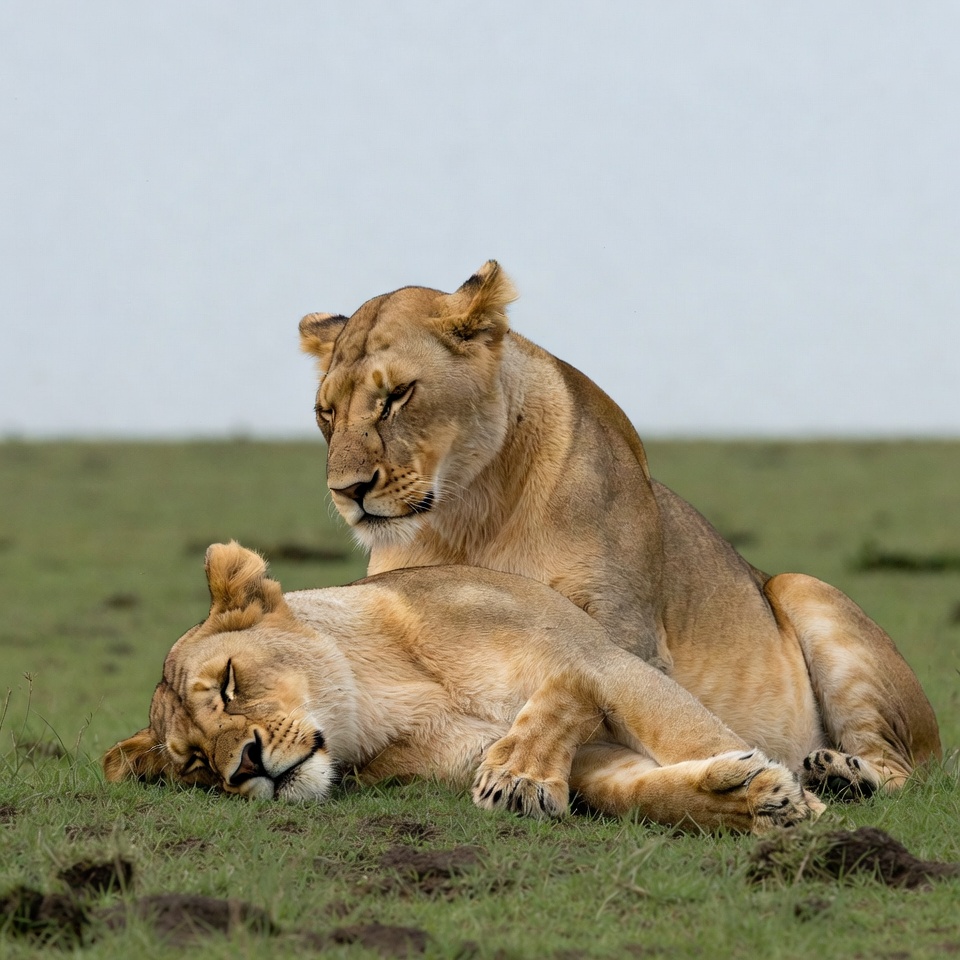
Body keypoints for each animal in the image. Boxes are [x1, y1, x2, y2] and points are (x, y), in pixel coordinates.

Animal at [104, 541, 824, 833]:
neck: (384, 698)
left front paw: (807, 809)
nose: (244, 766)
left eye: (229, 683)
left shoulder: (608, 660)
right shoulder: (576, 759)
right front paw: (751, 803)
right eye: (195, 765)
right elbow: (640, 794)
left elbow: (684, 730)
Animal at [298, 261, 941, 796]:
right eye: (326, 412)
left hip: (804, 590)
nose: (346, 491)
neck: (468, 511)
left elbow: (581, 688)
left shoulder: (626, 631)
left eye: (397, 395)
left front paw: (520, 770)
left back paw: (840, 772)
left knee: (903, 771)